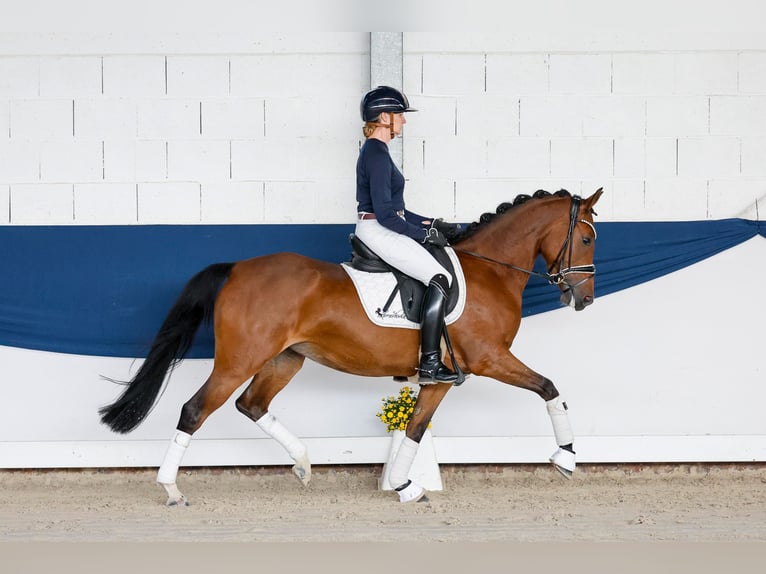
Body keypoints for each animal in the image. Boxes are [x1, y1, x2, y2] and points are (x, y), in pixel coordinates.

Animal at [99, 187, 603, 505]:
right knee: (195, 410)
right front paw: (566, 458)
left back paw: (304, 464)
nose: (584, 299)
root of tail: (238, 267)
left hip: (285, 360)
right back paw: (172, 490)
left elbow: (416, 428)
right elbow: (549, 388)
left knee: (251, 404)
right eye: (585, 238)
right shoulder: (490, 358)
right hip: (239, 360)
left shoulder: (442, 376)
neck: (489, 271)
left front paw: (404, 486)